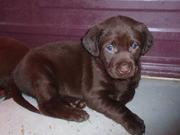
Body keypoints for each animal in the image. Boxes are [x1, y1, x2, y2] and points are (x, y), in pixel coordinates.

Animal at [13, 15, 153, 134]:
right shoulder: (94, 95)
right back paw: (75, 113)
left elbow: (129, 94)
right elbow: (117, 106)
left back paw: (75, 102)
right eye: (109, 48)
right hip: (42, 74)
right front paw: (134, 121)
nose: (125, 69)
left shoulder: (132, 84)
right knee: (46, 105)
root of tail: (16, 70)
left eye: (134, 45)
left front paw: (121, 96)